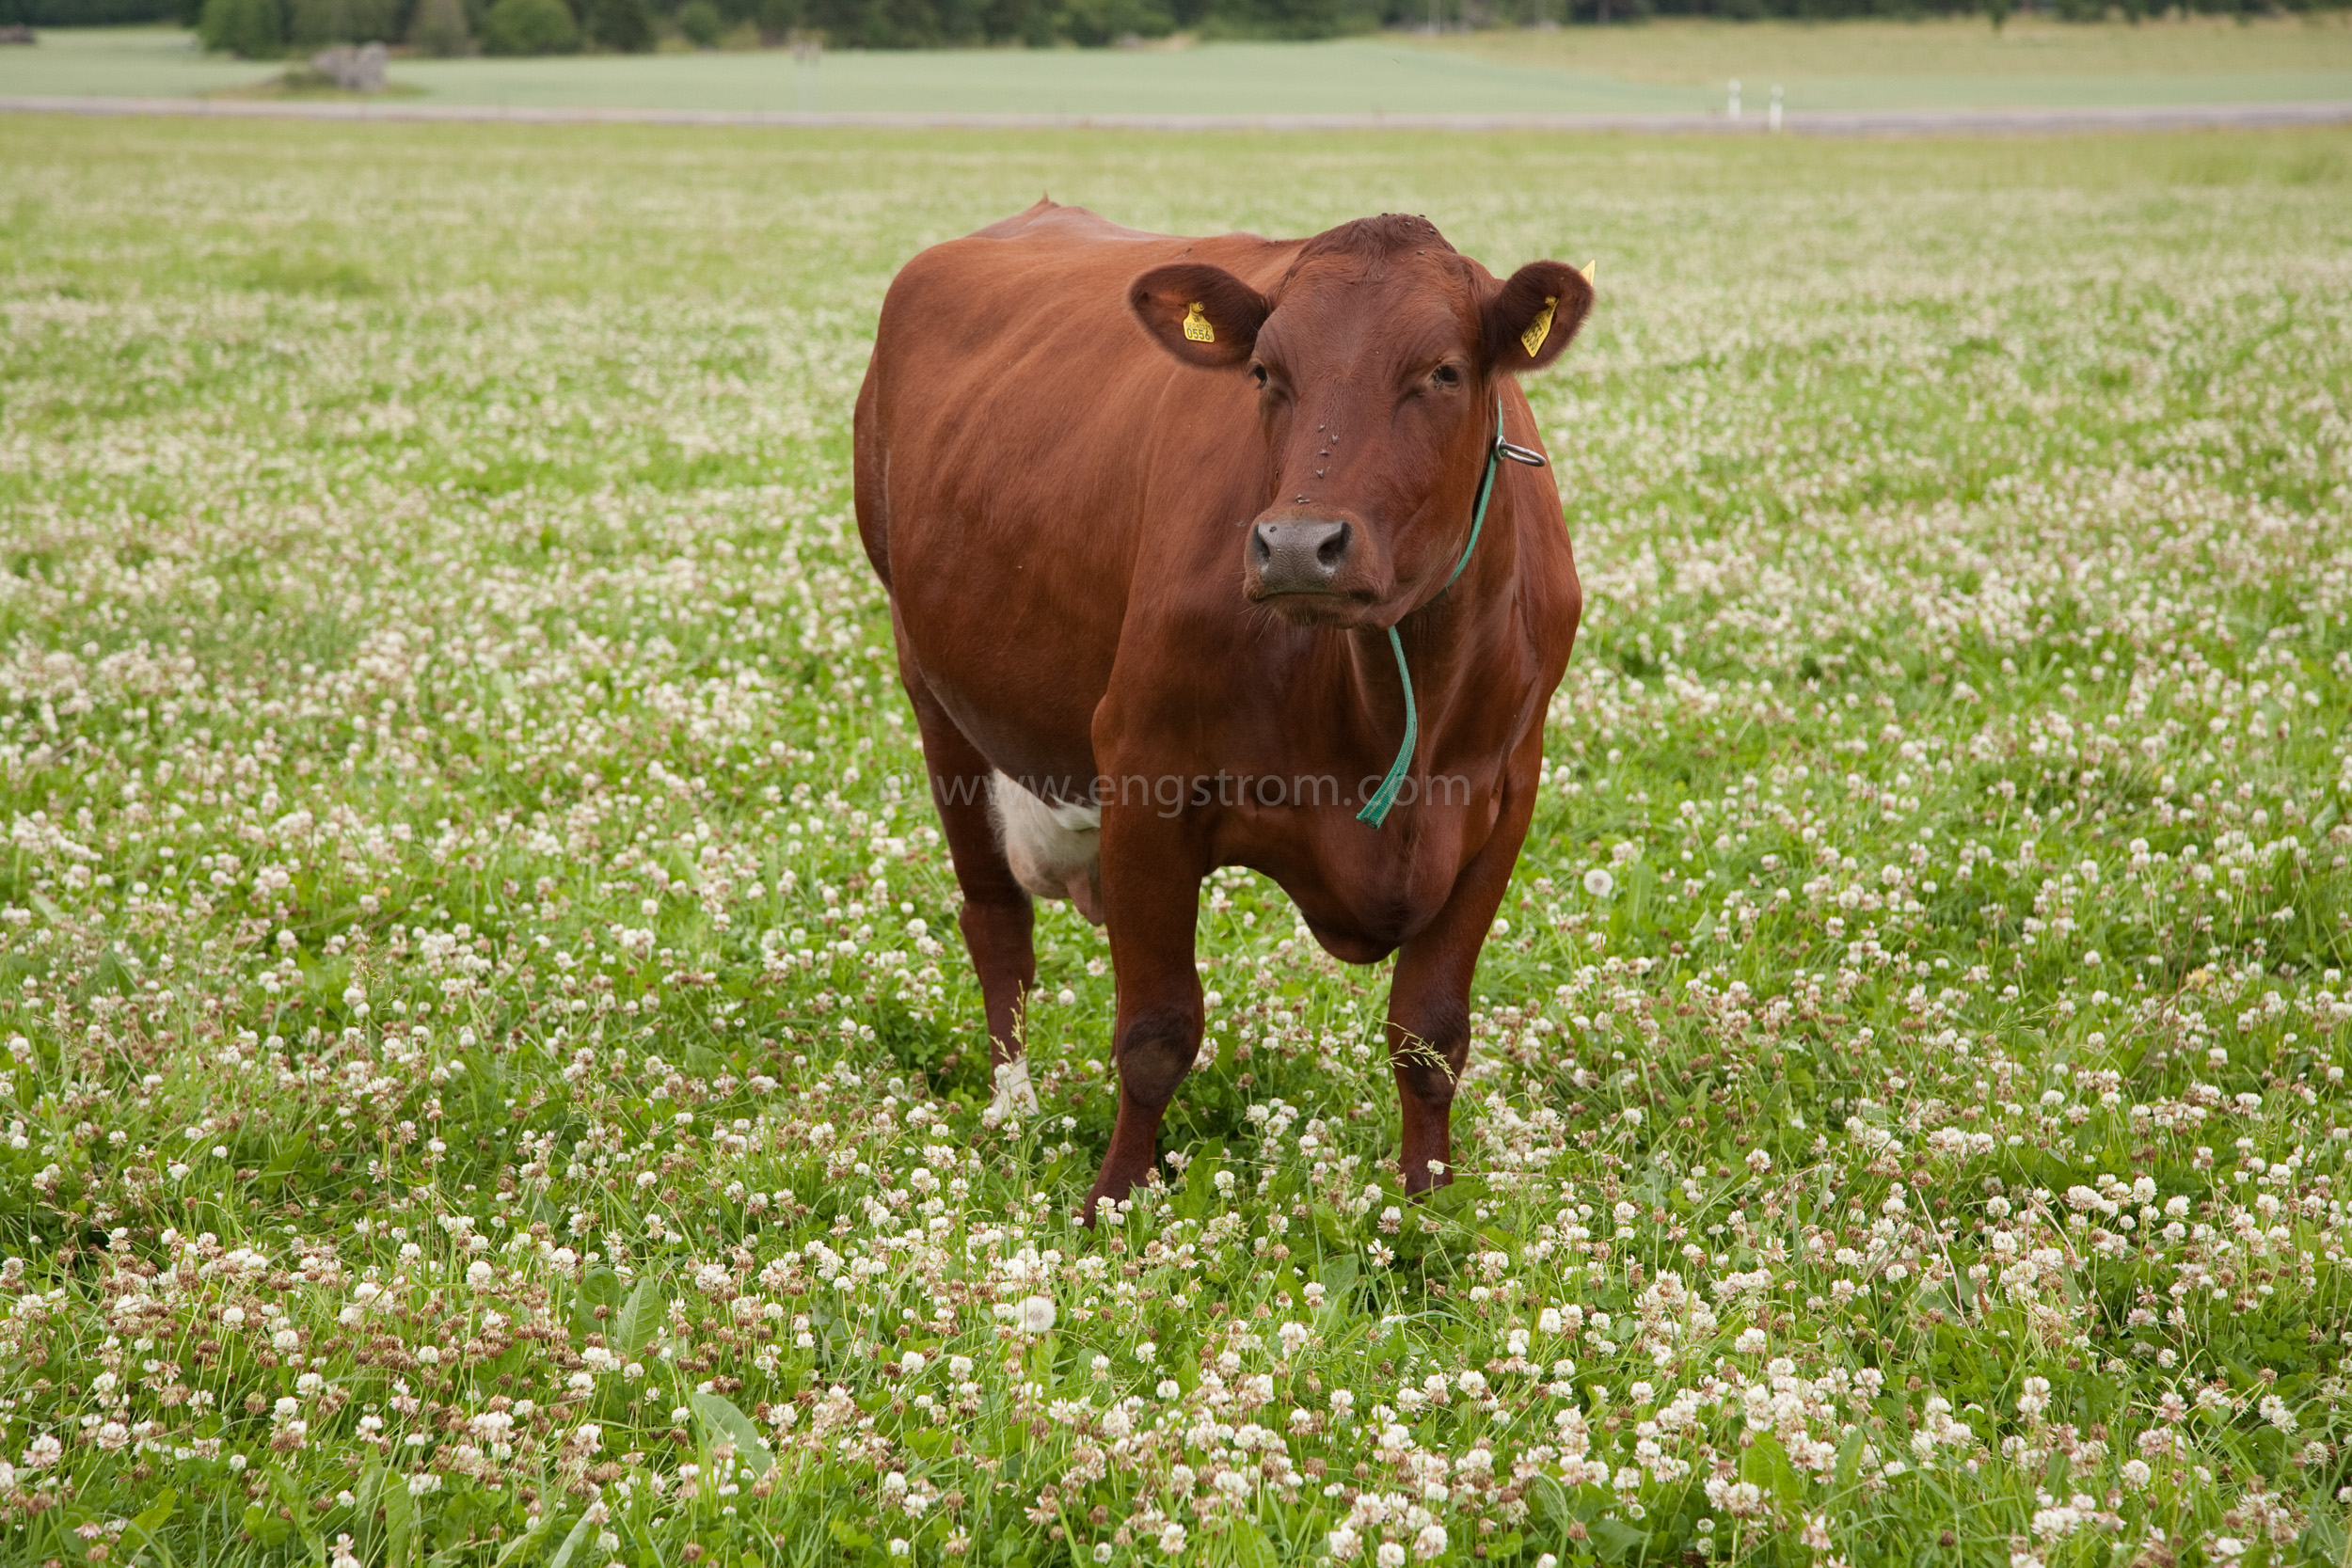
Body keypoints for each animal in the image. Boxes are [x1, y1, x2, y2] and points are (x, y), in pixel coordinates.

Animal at [856, 201, 1590, 1222]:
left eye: (1443, 371)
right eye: (1264, 373)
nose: (1298, 544)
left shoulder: (1501, 797)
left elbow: (1429, 1033)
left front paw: (1427, 1205)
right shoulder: (1143, 774)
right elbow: (1156, 1030)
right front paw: (1113, 1203)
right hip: (935, 692)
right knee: (995, 918)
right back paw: (1015, 1107)